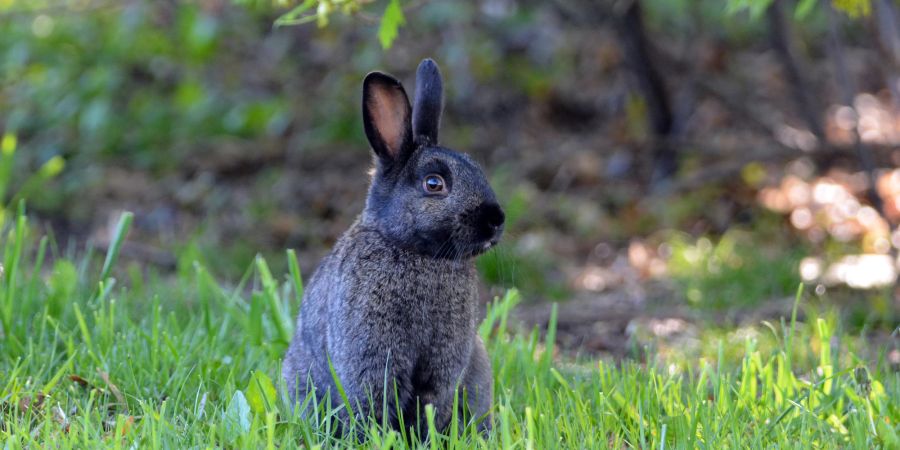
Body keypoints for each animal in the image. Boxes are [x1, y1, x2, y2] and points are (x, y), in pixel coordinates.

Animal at [282, 58, 502, 434]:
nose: (497, 220)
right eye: (434, 183)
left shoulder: (444, 364)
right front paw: (383, 436)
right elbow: (376, 401)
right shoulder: (372, 356)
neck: (416, 251)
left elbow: (431, 403)